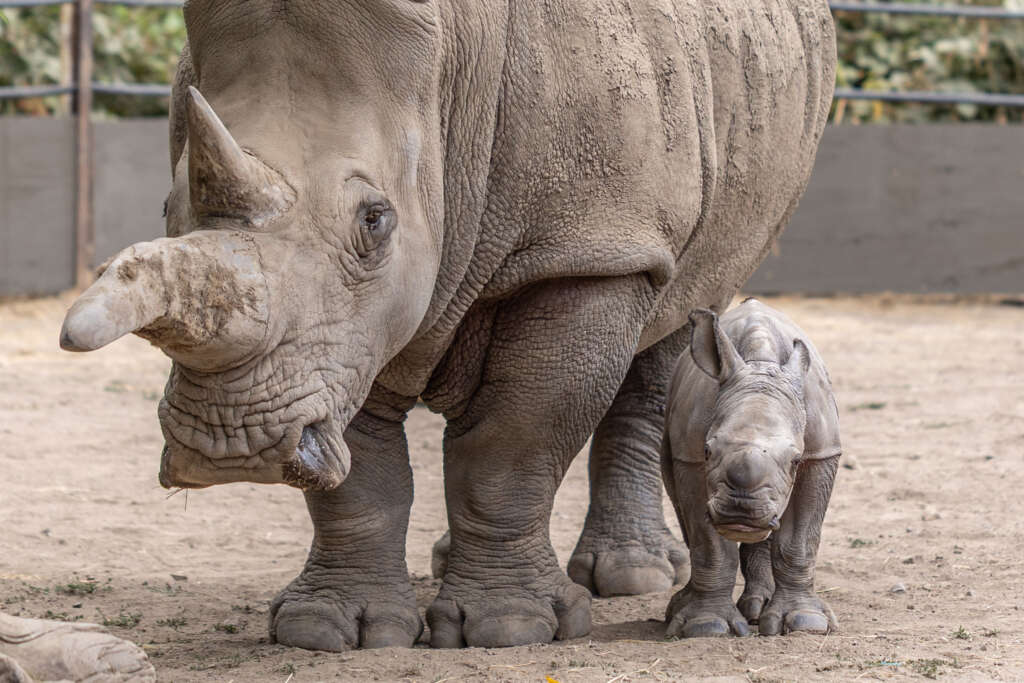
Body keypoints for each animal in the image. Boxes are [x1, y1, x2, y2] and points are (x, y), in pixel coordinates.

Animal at [662, 300, 841, 638]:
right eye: (707, 451)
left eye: (795, 461)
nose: (740, 512)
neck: (761, 366)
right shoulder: (690, 456)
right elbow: (710, 545)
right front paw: (706, 625)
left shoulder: (820, 454)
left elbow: (800, 541)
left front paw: (805, 622)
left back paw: (760, 607)